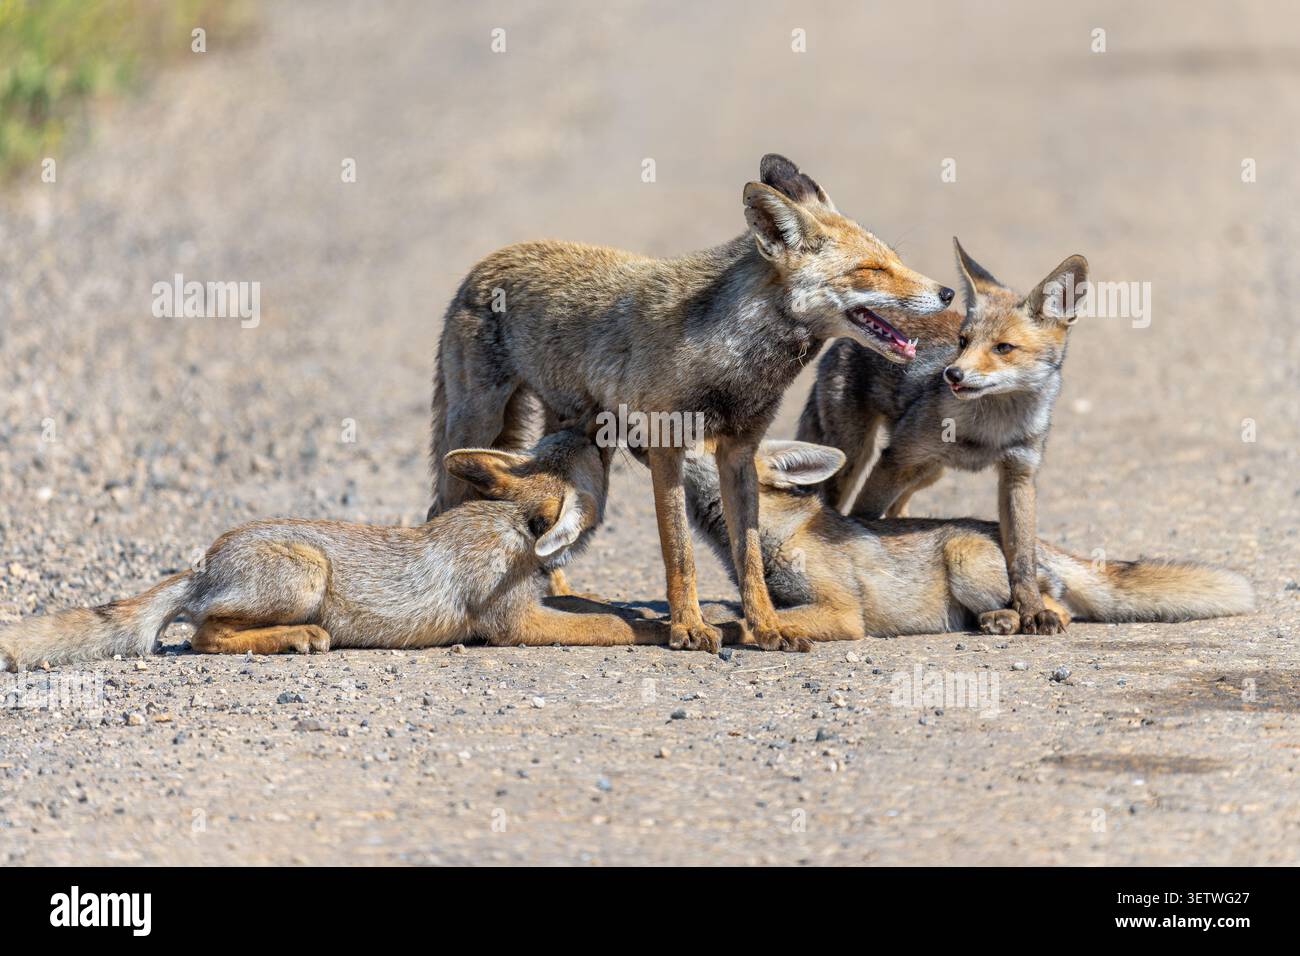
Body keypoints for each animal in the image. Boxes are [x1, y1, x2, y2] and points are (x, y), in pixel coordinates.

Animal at [0, 430, 668, 673]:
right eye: (594, 450)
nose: (599, 424)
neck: (515, 527)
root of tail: (203, 565)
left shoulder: (541, 601)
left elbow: (603, 606)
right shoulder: (514, 623)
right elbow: (611, 625)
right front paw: (672, 630)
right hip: (306, 574)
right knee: (203, 636)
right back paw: (299, 637)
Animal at [429, 153, 954, 654]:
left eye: (894, 260)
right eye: (871, 270)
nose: (948, 292)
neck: (732, 359)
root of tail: (488, 261)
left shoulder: (739, 451)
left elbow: (749, 557)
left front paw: (767, 628)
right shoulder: (665, 446)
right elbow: (679, 552)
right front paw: (688, 628)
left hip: (569, 423)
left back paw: (556, 586)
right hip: (477, 421)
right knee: (443, 503)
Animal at [682, 441, 1255, 640]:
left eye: (706, 435)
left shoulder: (843, 612)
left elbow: (757, 622)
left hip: (966, 562)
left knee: (1057, 609)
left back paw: (1010, 621)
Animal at [798, 239, 1088, 634]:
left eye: (1003, 348)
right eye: (963, 342)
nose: (953, 374)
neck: (990, 432)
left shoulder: (1020, 474)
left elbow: (1022, 559)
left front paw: (1031, 610)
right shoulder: (896, 459)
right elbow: (864, 520)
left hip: (927, 472)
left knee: (899, 511)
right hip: (855, 458)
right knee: (841, 505)